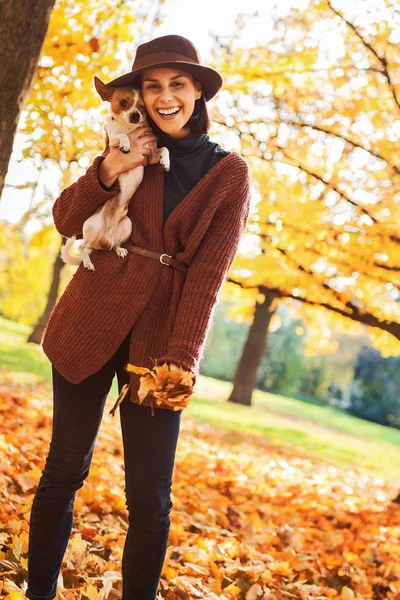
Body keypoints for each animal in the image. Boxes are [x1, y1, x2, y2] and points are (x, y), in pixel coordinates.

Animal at [61, 77, 169, 272]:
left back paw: (119, 249)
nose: (136, 115)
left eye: (142, 107)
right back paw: (88, 262)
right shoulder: (113, 141)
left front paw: (166, 162)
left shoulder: (149, 157)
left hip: (127, 225)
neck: (129, 127)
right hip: (92, 225)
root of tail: (102, 241)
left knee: (113, 244)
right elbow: (121, 137)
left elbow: (164, 148)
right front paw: (126, 144)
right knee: (82, 247)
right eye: (123, 103)